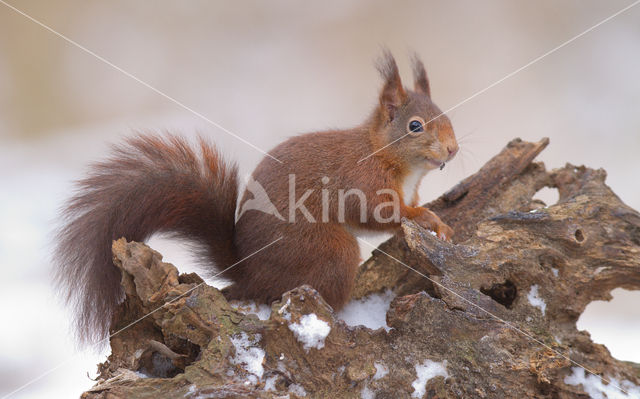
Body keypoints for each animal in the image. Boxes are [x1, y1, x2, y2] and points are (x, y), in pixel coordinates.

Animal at [53, 50, 456, 344]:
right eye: (415, 126)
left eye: (447, 117)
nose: (452, 150)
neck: (385, 155)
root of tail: (248, 274)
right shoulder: (362, 182)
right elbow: (378, 213)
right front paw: (428, 218)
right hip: (328, 252)